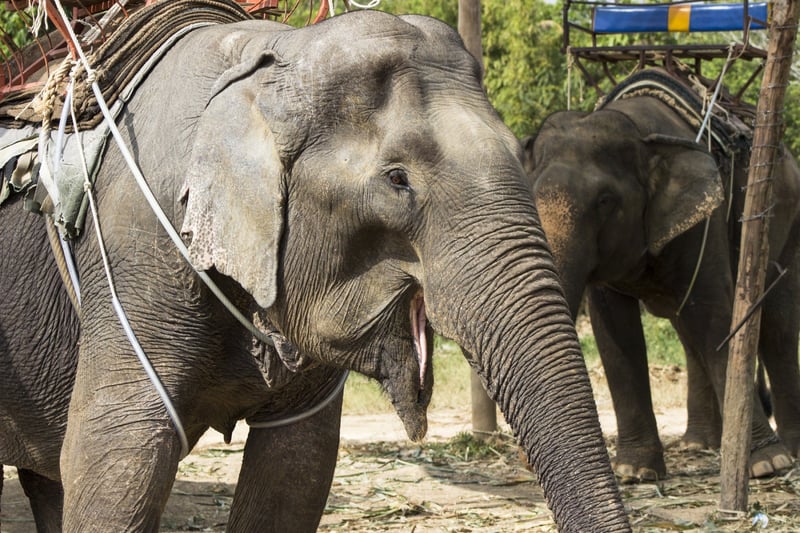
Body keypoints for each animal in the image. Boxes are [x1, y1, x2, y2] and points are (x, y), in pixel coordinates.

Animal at [0, 2, 632, 528]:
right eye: (397, 180)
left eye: (519, 149)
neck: (267, 57)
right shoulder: (139, 252)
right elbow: (113, 459)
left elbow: (295, 470)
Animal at [524, 69, 800, 482]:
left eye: (605, 201)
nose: (530, 461)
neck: (640, 131)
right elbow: (615, 333)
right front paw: (634, 472)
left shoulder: (704, 220)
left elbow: (716, 318)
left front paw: (768, 465)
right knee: (688, 332)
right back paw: (700, 444)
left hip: (788, 221)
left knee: (777, 325)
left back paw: (789, 452)